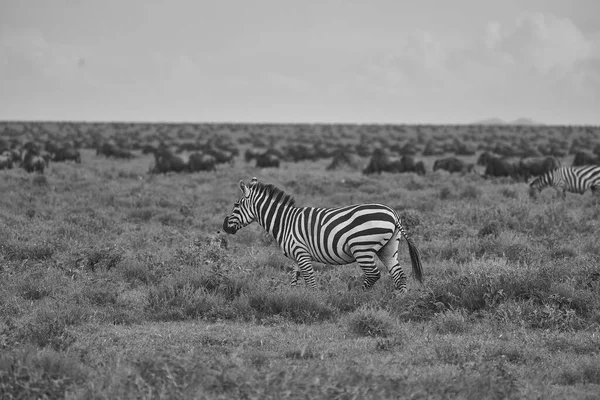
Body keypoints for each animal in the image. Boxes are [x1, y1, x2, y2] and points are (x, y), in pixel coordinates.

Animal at [220, 177, 422, 292]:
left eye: (236, 205)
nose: (225, 227)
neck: (284, 221)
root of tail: (393, 213)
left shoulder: (301, 252)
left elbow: (310, 280)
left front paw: (314, 301)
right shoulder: (296, 256)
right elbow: (295, 280)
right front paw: (294, 299)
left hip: (362, 248)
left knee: (373, 274)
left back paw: (356, 295)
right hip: (388, 248)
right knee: (399, 275)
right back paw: (399, 299)